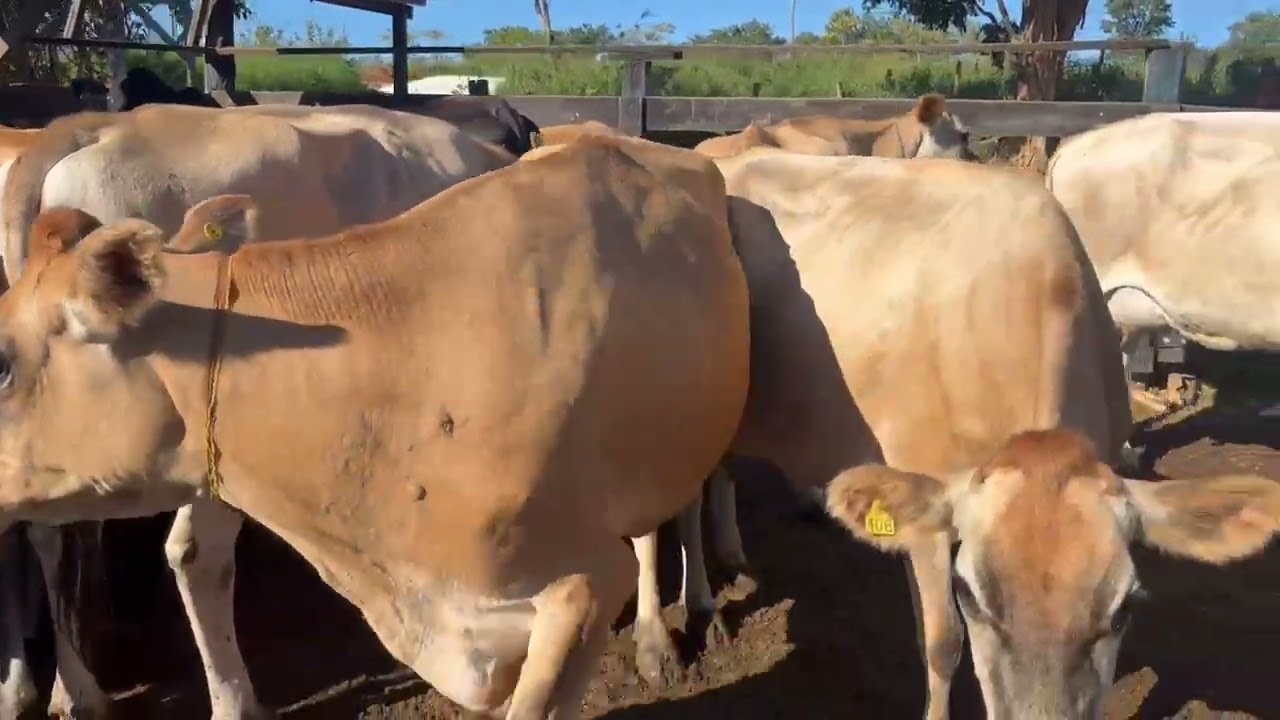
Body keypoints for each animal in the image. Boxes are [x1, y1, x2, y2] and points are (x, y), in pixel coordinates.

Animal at [681, 148, 1136, 719]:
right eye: (972, 596)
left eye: (1122, 607)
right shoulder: (924, 514)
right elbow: (942, 644)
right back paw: (701, 603)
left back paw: (732, 550)